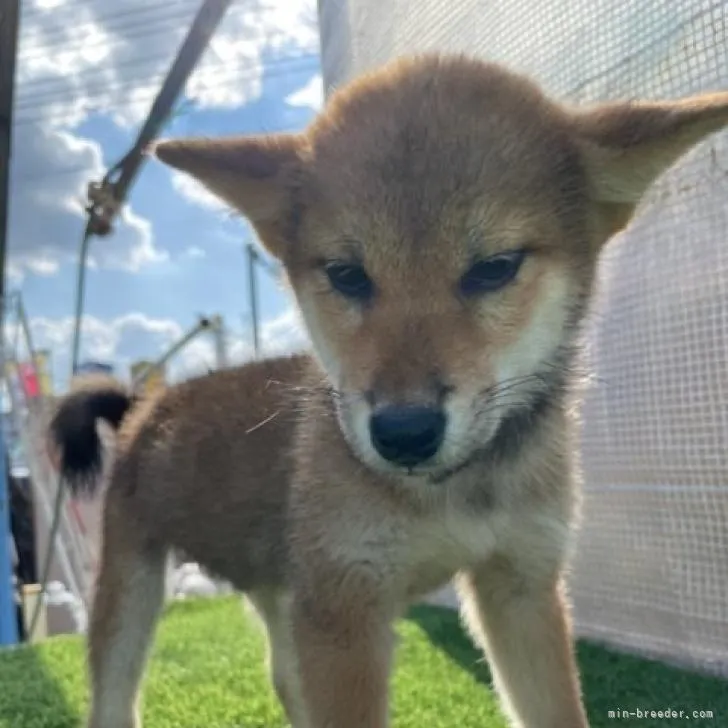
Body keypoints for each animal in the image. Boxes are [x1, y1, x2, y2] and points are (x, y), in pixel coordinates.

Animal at [49, 52, 728, 728]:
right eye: (347, 275)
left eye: (495, 267)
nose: (404, 433)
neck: (453, 495)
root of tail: (145, 407)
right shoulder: (346, 610)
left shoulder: (521, 583)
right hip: (133, 582)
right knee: (113, 695)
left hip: (284, 588)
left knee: (283, 677)